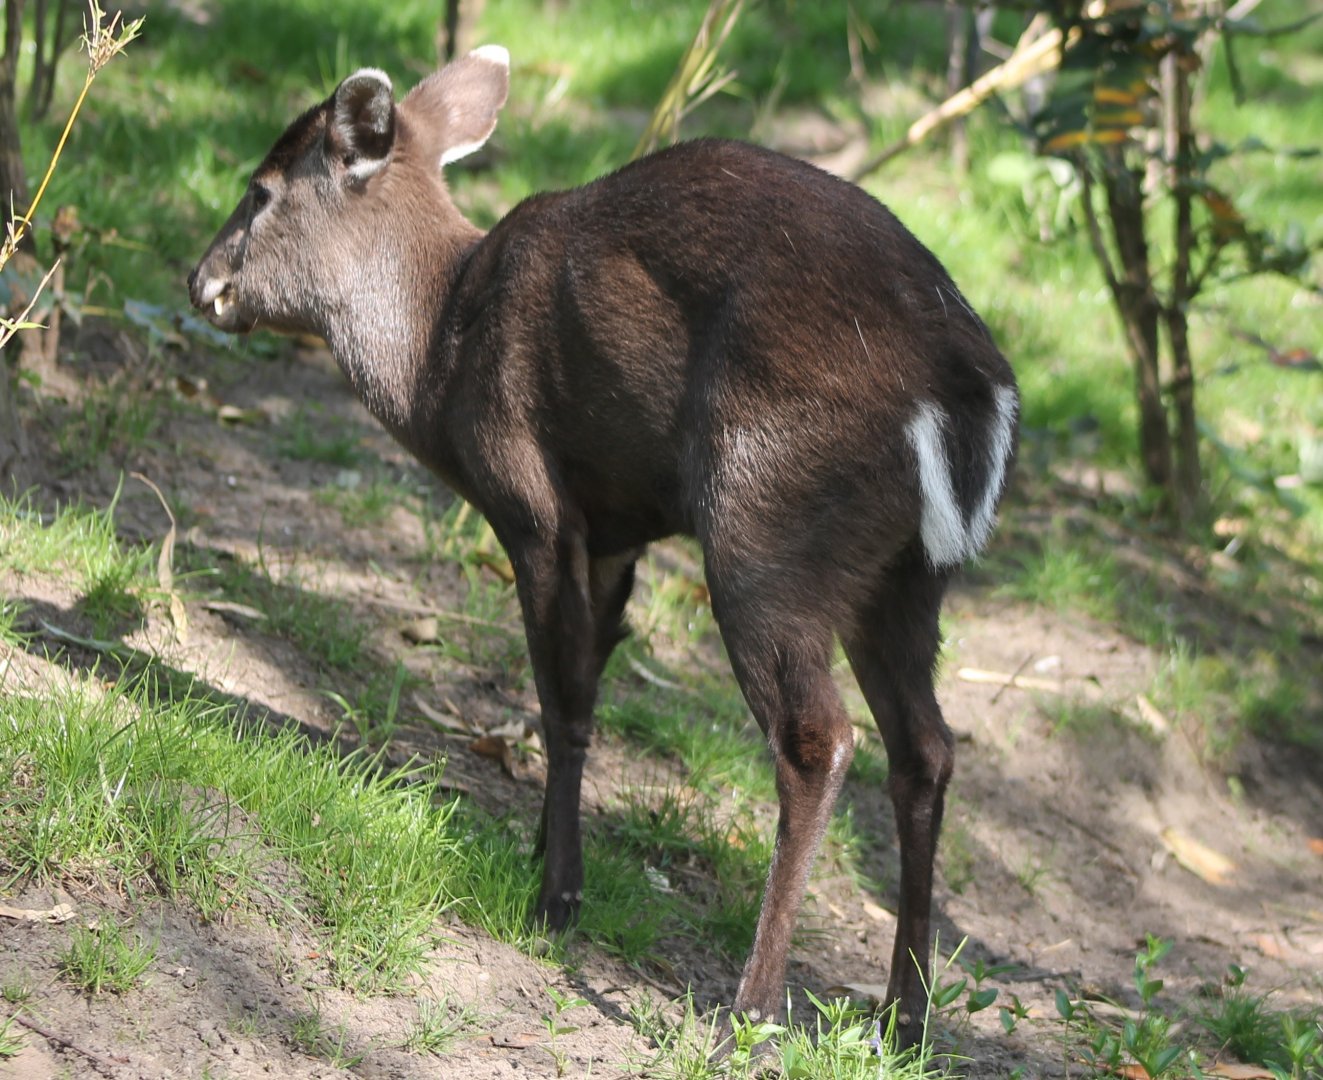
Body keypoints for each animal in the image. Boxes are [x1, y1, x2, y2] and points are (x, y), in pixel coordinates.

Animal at [188, 45, 1019, 1047]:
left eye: (260, 189)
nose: (201, 283)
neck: (440, 353)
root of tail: (970, 392)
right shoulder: (618, 529)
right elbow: (592, 669)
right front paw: (541, 847)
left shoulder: (534, 501)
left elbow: (565, 697)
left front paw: (557, 895)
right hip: (906, 578)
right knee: (925, 746)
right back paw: (904, 1016)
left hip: (766, 529)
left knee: (817, 736)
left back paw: (750, 1009)